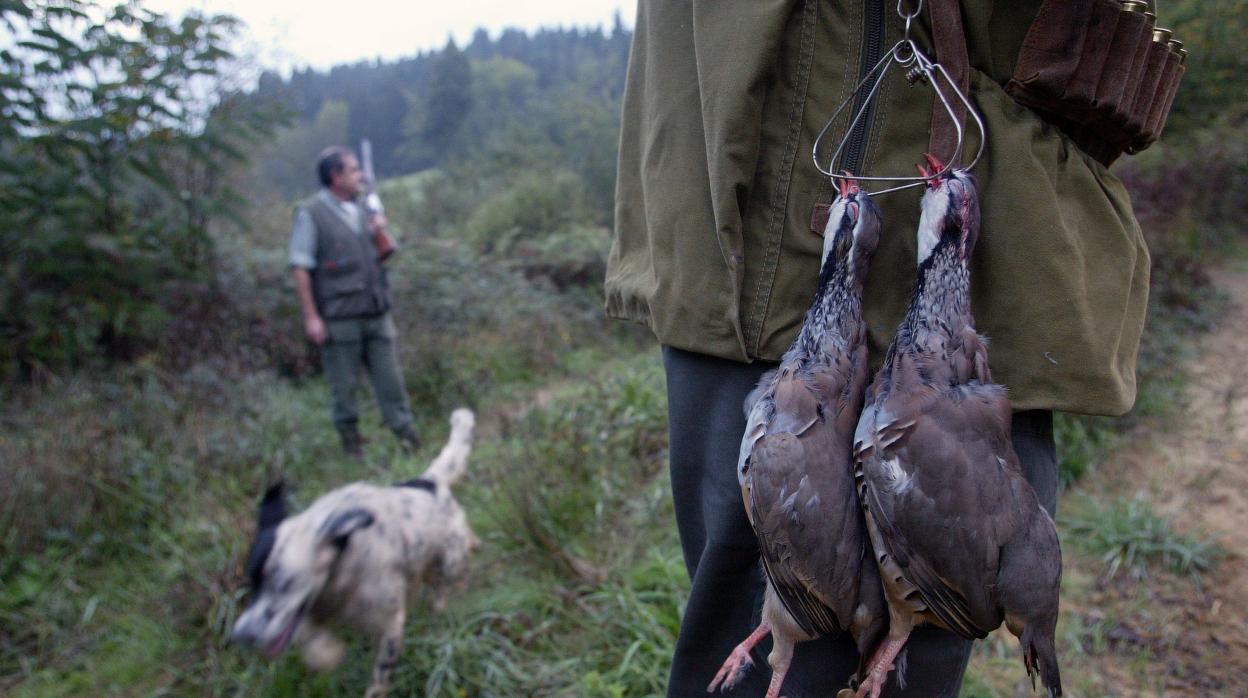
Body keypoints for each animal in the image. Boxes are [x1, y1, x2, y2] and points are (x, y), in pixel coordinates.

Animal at [229, 409, 476, 698]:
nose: (240, 635)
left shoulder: (389, 623)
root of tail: (429, 481)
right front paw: (328, 653)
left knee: (448, 575)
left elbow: (381, 671)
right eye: (251, 582)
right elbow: (312, 639)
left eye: (285, 584)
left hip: (450, 557)